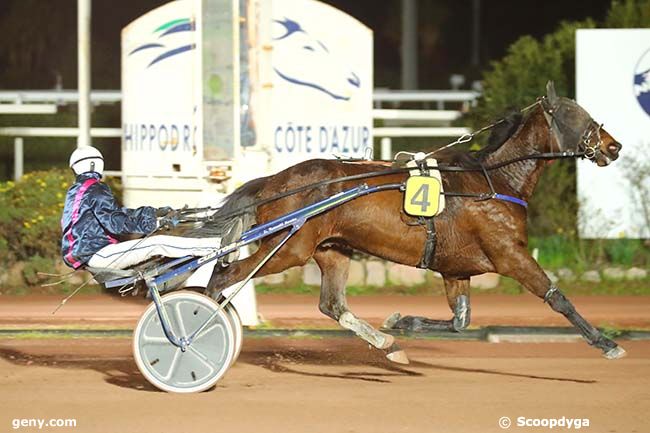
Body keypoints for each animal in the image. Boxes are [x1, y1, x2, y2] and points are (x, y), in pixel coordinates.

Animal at [201, 81, 624, 362]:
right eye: (578, 116)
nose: (614, 146)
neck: (494, 182)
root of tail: (273, 181)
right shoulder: (510, 255)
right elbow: (557, 298)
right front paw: (606, 343)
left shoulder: (456, 270)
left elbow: (460, 321)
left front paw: (402, 322)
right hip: (287, 248)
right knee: (224, 276)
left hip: (332, 249)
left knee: (332, 305)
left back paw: (388, 345)